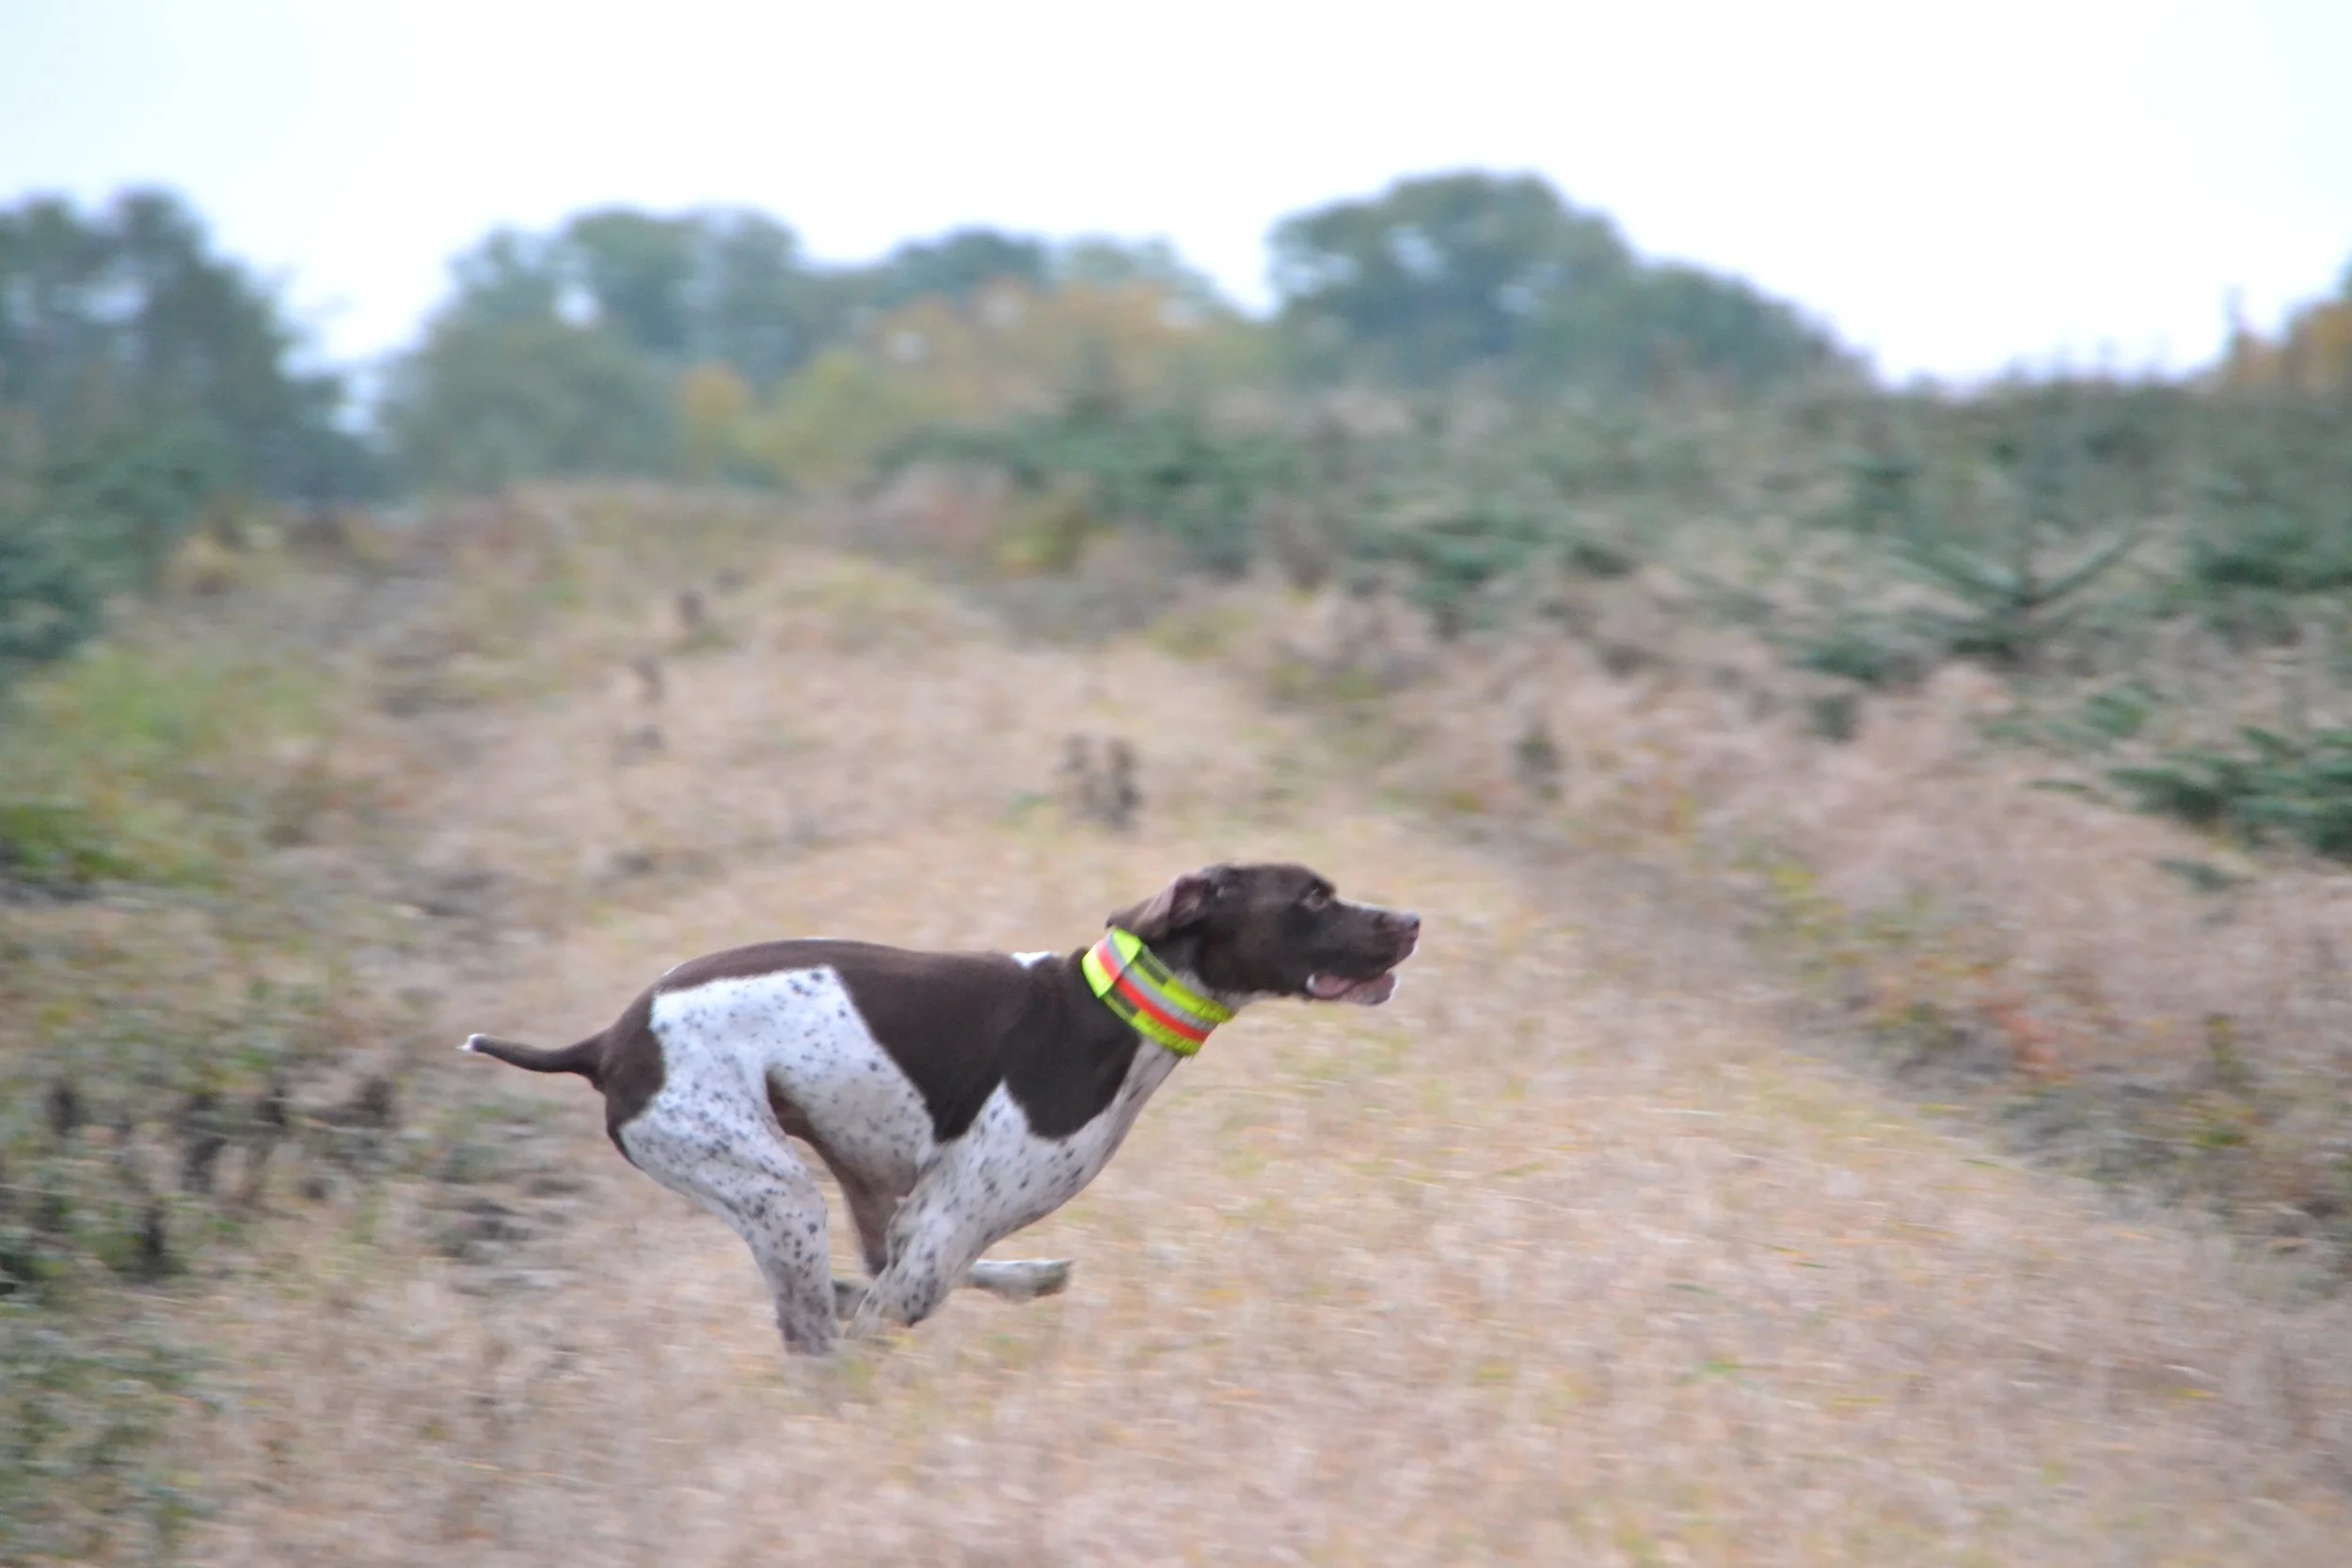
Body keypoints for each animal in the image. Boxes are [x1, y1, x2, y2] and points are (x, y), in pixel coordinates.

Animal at [463, 862, 1419, 1354]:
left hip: (820, 1184)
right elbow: (895, 1304)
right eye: (1313, 897)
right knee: (820, 1335)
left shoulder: (914, 1211)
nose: (1411, 919)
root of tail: (604, 1043)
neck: (1114, 1009)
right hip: (777, 1189)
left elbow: (900, 1279)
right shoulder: (946, 1218)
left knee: (846, 1289)